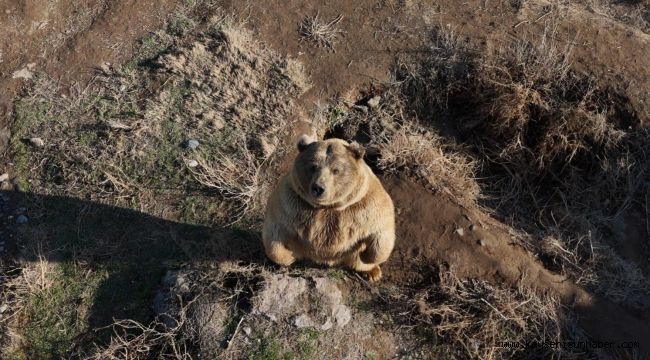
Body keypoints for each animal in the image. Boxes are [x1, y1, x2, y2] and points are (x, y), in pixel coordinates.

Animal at [260, 134, 392, 282]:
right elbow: (274, 231)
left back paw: (373, 272)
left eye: (336, 170)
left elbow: (381, 230)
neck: (329, 207)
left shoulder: (363, 206)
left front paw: (367, 257)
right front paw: (288, 257)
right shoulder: (291, 203)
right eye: (313, 166)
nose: (318, 188)